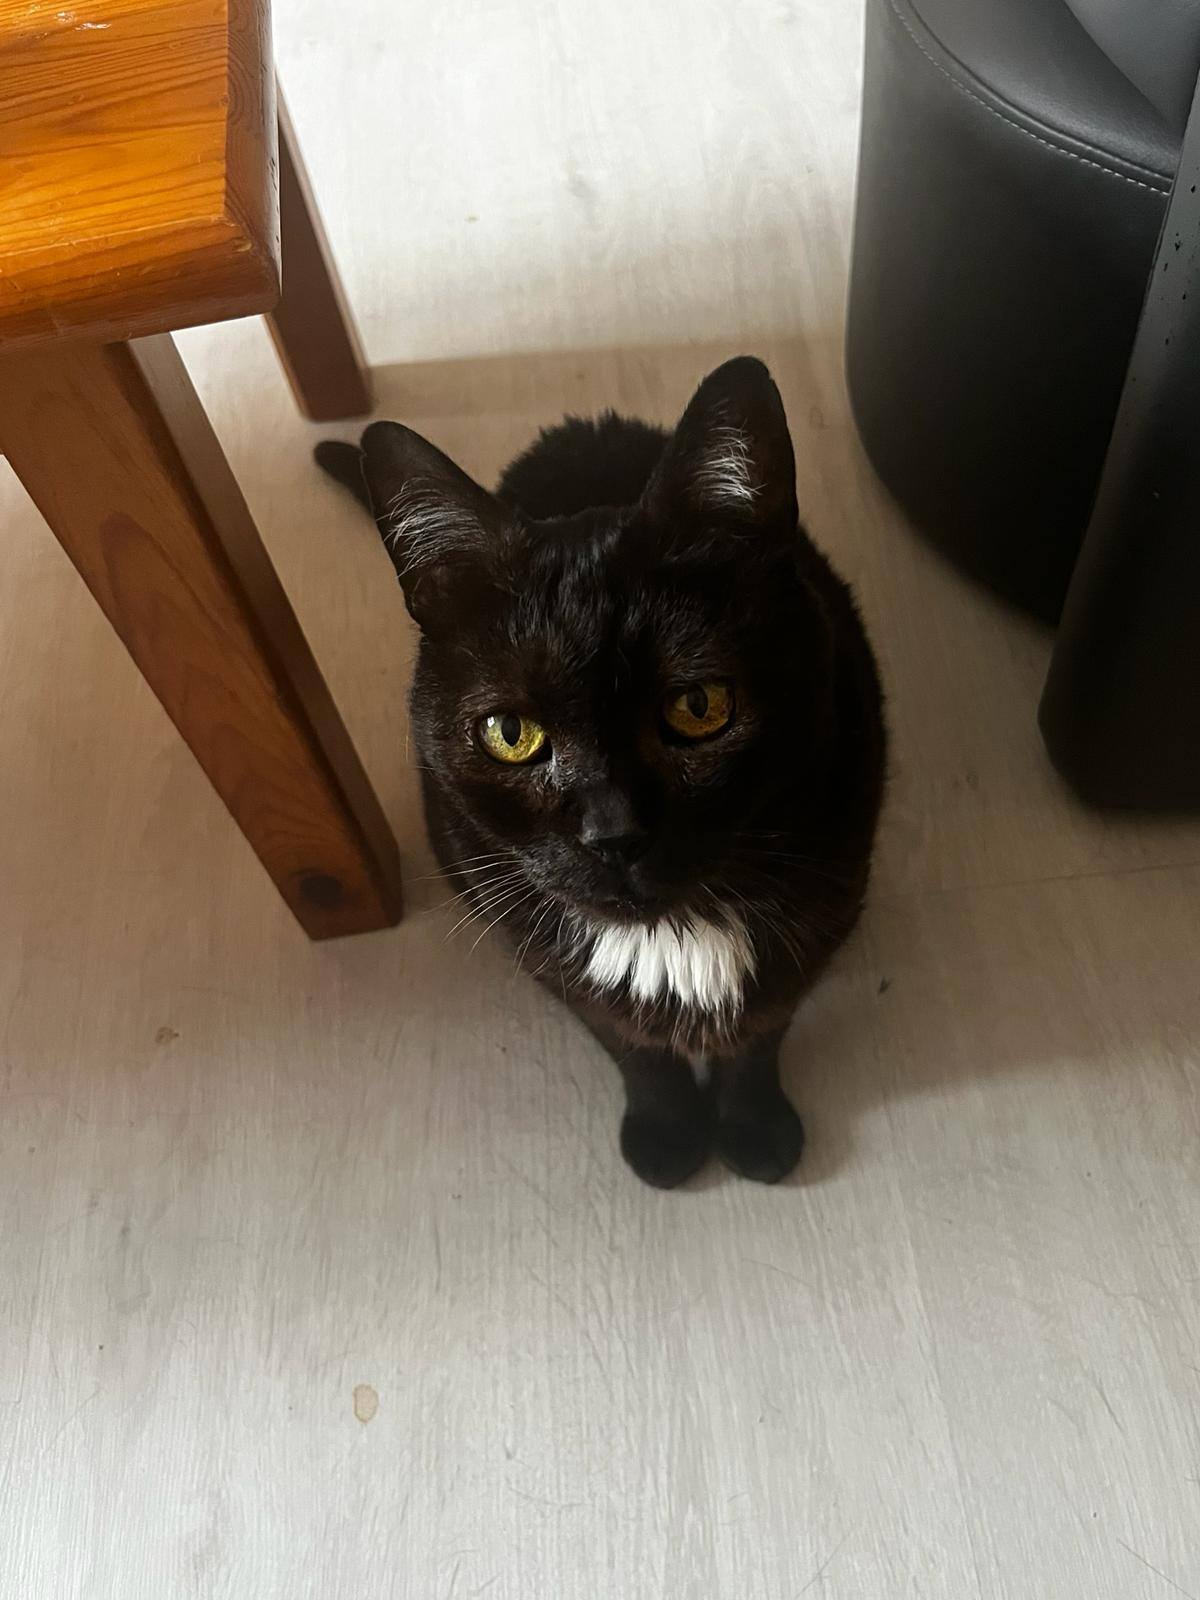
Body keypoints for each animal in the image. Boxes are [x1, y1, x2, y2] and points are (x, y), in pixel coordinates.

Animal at [316, 357, 886, 1188]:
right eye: (510, 734)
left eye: (699, 706)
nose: (612, 832)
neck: (675, 934)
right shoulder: (537, 948)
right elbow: (628, 1040)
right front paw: (667, 1133)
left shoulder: (820, 913)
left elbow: (760, 1029)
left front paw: (754, 1130)